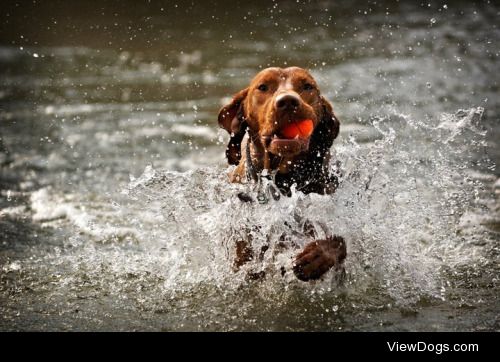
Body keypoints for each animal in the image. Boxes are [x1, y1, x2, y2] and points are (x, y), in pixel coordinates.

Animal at [217, 66, 346, 282]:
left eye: (307, 86)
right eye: (263, 87)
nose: (287, 101)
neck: (283, 180)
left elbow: (339, 242)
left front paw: (316, 257)